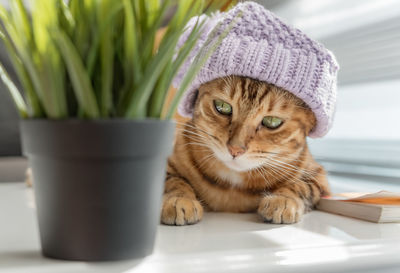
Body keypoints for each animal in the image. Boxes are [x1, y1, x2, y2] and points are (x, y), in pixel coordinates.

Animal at [161, 75, 330, 224]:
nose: (235, 149)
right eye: (222, 107)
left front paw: (283, 199)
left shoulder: (318, 176)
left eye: (272, 121)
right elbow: (173, 181)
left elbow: (300, 186)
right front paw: (179, 199)